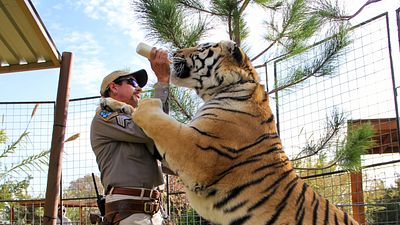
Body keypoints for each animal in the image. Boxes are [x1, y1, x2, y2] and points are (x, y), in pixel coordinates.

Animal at [102, 40, 360, 225]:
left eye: (201, 47)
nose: (174, 51)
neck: (224, 88)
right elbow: (137, 114)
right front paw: (110, 102)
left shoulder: (196, 152)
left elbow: (157, 118)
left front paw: (146, 103)